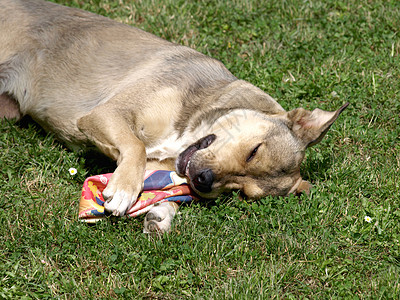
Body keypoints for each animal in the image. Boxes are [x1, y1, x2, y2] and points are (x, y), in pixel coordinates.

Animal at [0, 0, 346, 233]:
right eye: (253, 151)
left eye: (241, 192)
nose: (203, 181)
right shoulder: (106, 114)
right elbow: (135, 146)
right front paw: (124, 190)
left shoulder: (161, 165)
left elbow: (156, 184)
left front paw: (160, 215)